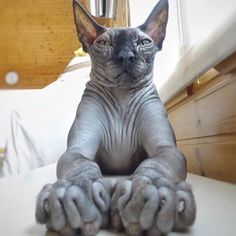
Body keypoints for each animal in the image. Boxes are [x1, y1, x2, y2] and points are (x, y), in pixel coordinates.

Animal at [36, 0, 196, 235]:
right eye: (104, 43)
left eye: (144, 42)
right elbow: (83, 169)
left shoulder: (166, 149)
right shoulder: (76, 151)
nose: (126, 56)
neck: (122, 99)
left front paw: (148, 192)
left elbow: (152, 166)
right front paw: (78, 193)